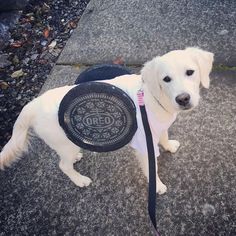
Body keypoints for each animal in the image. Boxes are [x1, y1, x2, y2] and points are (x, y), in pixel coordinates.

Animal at [0, 47, 214, 194]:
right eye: (166, 79)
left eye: (190, 72)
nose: (183, 99)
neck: (154, 97)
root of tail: (32, 105)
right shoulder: (144, 145)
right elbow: (150, 168)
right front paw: (158, 186)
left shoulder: (159, 128)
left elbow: (164, 136)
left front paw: (169, 146)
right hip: (65, 144)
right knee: (63, 166)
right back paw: (80, 180)